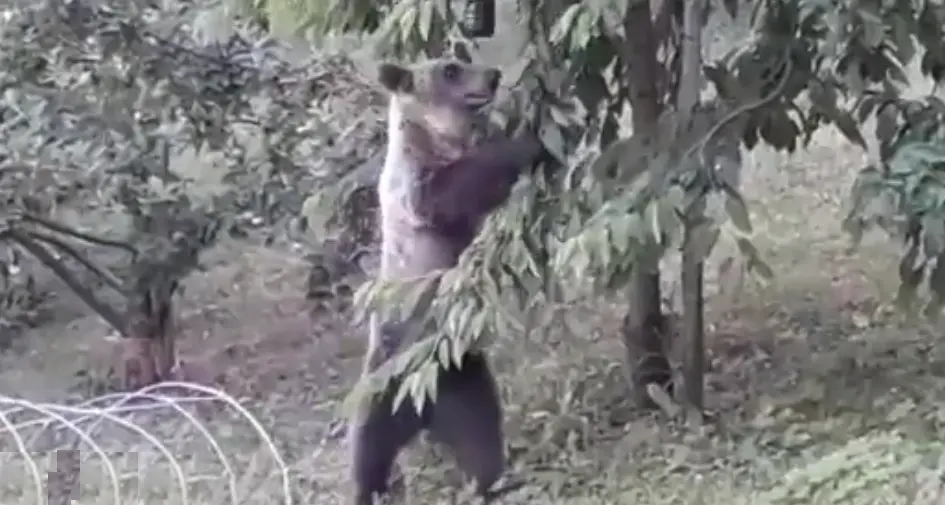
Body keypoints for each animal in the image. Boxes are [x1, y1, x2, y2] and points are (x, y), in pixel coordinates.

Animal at [347, 57, 547, 505]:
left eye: (462, 58)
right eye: (450, 70)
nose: (492, 75)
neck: (434, 138)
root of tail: (422, 407)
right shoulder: (415, 189)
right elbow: (454, 189)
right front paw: (526, 140)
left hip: (461, 378)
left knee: (481, 433)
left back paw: (492, 481)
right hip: (389, 376)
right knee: (368, 446)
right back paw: (367, 489)